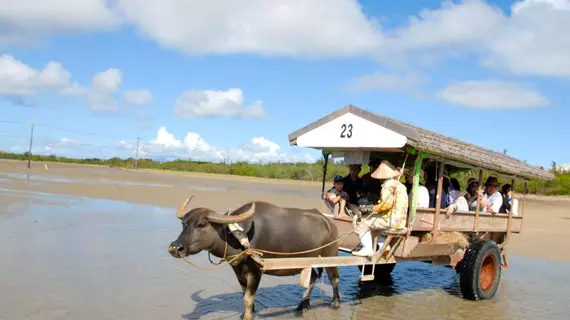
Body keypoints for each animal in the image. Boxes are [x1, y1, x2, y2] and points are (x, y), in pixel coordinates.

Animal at [166, 198, 340, 320]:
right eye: (183, 224)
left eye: (201, 224)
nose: (175, 247)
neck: (239, 236)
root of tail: (330, 223)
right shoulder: (239, 271)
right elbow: (244, 295)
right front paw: (245, 313)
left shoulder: (256, 271)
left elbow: (248, 298)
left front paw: (248, 315)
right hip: (310, 261)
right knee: (313, 277)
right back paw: (303, 304)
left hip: (331, 256)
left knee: (334, 278)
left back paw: (335, 303)